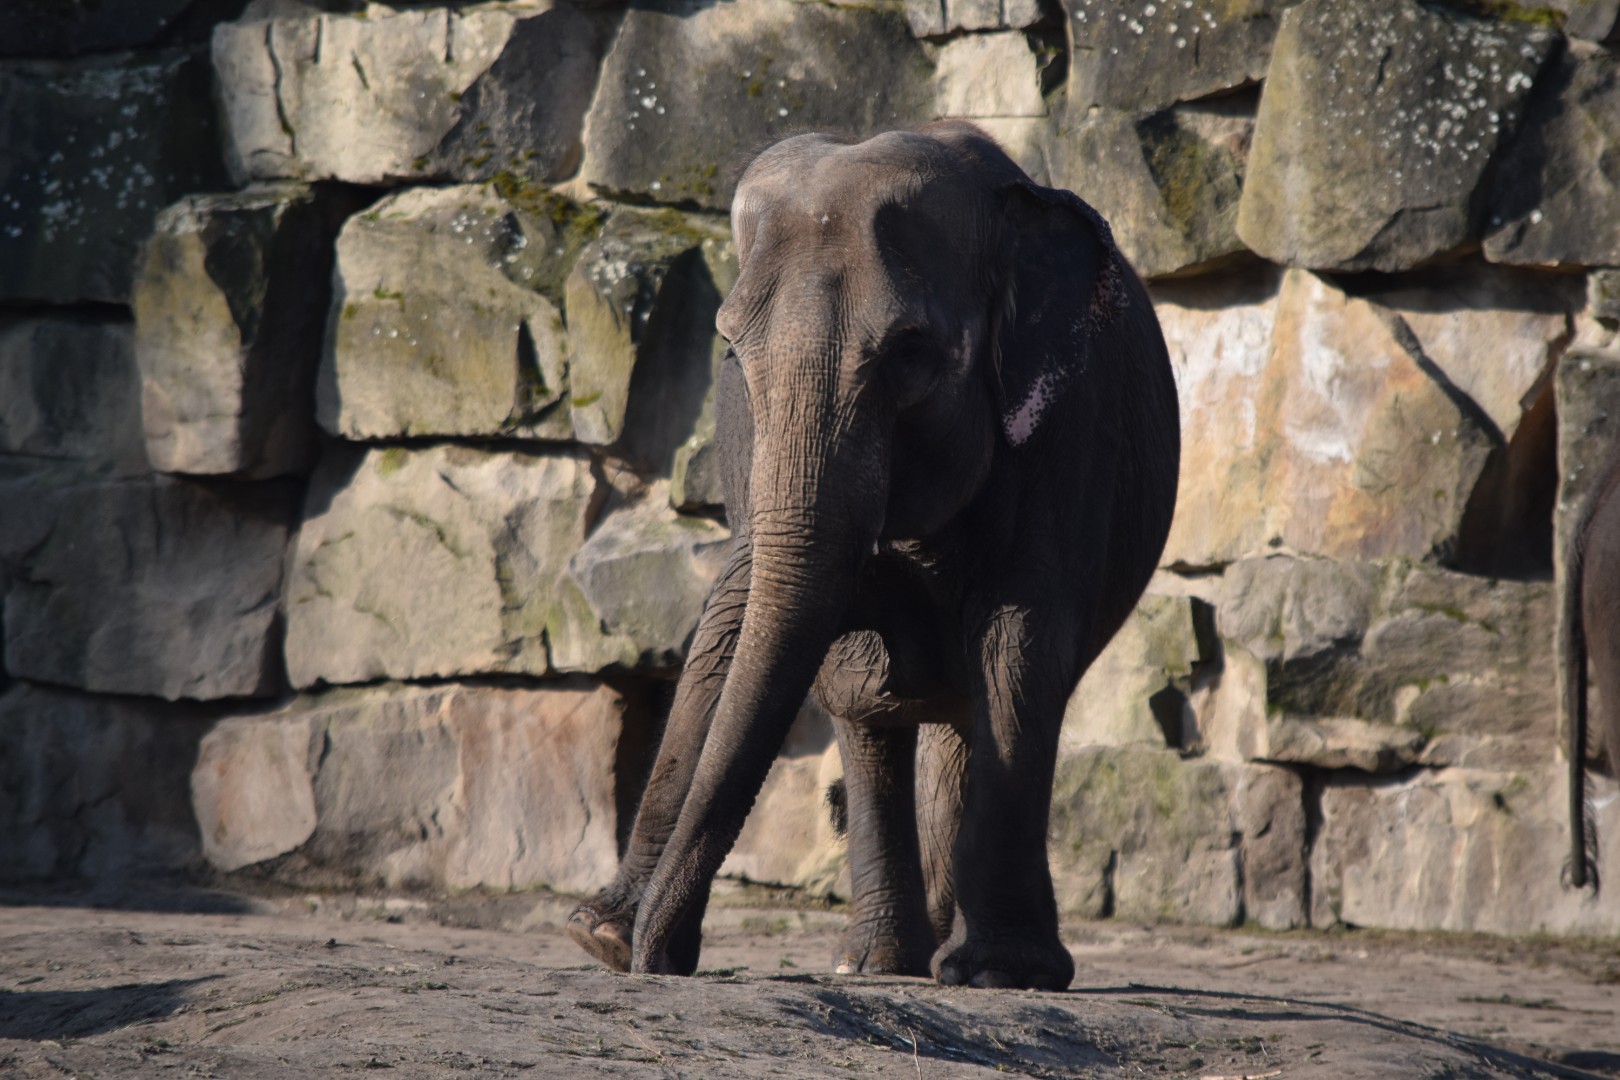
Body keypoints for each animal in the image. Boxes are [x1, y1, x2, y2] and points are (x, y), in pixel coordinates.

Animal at [566, 121, 1181, 990]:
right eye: (730, 349)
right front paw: (601, 938)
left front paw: (1003, 974)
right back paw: (876, 963)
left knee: (966, 709)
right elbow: (733, 618)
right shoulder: (743, 434)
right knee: (866, 716)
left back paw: (935, 961)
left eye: (909, 351)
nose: (659, 957)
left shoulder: (1072, 425)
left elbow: (1017, 639)